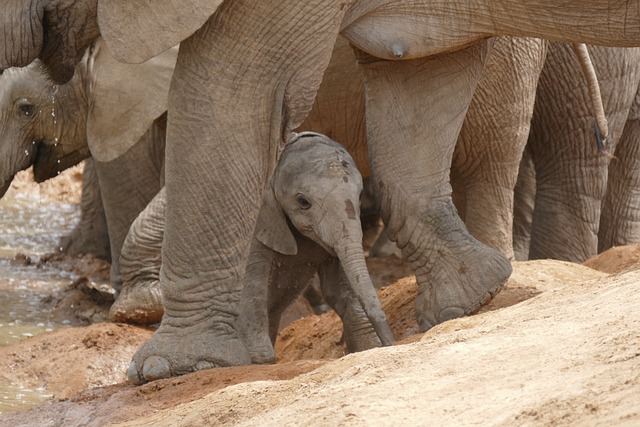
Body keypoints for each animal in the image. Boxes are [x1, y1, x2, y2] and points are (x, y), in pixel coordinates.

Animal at [116, 132, 396, 362]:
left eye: (359, 196)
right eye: (303, 202)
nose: (391, 343)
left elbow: (339, 288)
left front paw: (369, 346)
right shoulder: (255, 228)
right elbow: (253, 287)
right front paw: (261, 359)